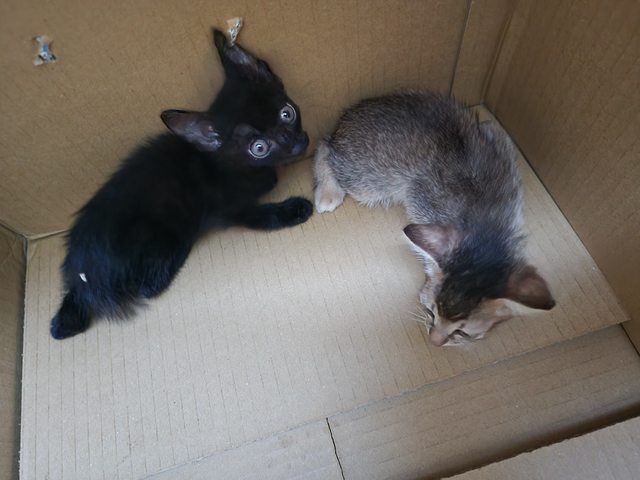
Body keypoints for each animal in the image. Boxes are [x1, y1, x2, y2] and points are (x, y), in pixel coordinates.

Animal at [50, 29, 312, 340]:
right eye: (258, 148)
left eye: (287, 113)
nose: (296, 143)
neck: (225, 164)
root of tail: (84, 275)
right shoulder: (226, 210)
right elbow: (261, 216)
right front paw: (295, 209)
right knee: (148, 287)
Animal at [314, 91, 555, 346]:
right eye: (430, 312)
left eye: (462, 332)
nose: (435, 342)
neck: (486, 232)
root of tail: (346, 118)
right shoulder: (422, 202)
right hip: (371, 180)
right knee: (324, 146)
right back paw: (328, 191)